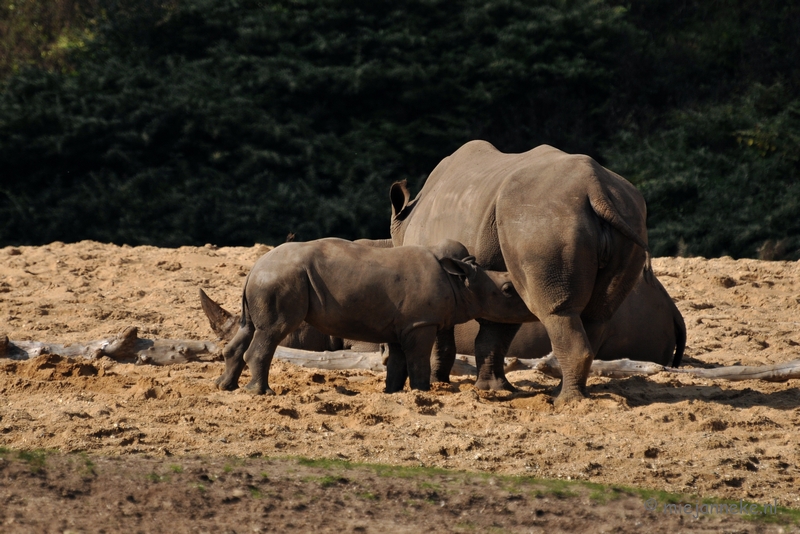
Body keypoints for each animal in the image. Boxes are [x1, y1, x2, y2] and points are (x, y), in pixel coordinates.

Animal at [216, 239, 536, 394]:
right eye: (508, 290)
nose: (532, 309)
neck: (462, 281)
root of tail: (253, 269)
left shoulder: (402, 325)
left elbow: (397, 363)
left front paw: (393, 394)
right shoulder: (421, 324)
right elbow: (418, 361)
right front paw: (423, 392)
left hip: (268, 279)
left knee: (250, 329)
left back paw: (226, 387)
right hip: (280, 279)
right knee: (272, 332)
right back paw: (261, 393)